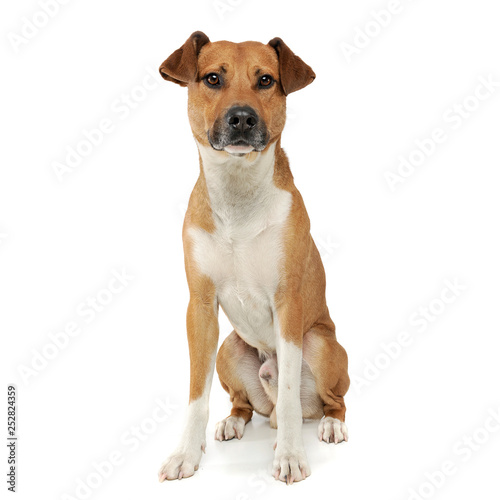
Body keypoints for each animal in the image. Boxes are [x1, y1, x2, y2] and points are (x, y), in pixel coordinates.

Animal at [158, 31, 350, 484]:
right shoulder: (200, 307)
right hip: (229, 348)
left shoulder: (288, 303)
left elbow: (291, 395)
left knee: (330, 401)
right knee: (246, 402)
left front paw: (291, 455)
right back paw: (234, 420)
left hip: (320, 344)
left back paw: (330, 424)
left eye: (266, 80)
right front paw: (186, 454)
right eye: (212, 78)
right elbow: (196, 393)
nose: (242, 118)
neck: (237, 194)